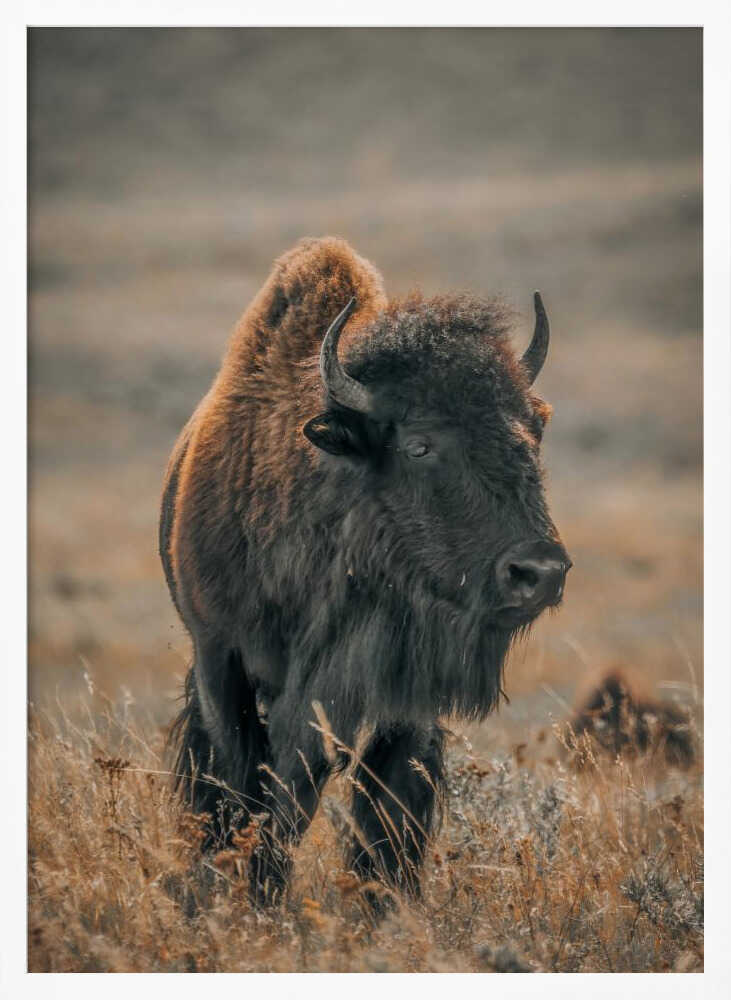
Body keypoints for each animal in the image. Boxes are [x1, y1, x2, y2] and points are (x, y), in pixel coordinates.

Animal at [160, 236, 571, 907]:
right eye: (419, 445)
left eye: (532, 432)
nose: (539, 572)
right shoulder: (222, 659)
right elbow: (251, 786)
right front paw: (248, 892)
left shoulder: (402, 696)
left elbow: (387, 808)